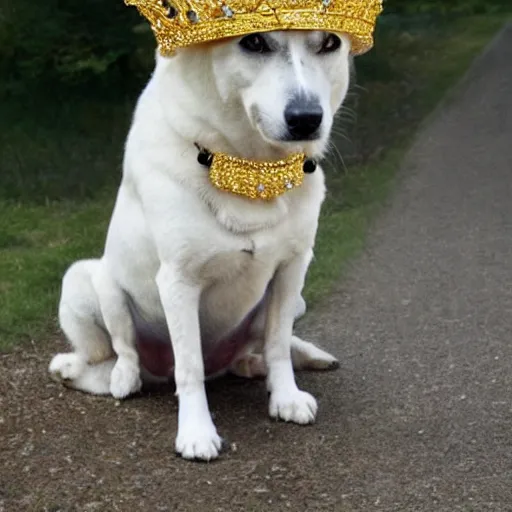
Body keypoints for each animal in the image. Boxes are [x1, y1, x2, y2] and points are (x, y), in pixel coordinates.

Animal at [49, 30, 352, 462]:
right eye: (254, 43)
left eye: (329, 43)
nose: (307, 119)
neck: (251, 170)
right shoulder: (179, 282)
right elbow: (188, 366)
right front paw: (196, 432)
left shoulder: (292, 268)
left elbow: (277, 342)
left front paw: (286, 397)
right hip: (85, 280)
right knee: (116, 353)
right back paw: (106, 373)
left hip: (295, 302)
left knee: (262, 347)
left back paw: (281, 360)